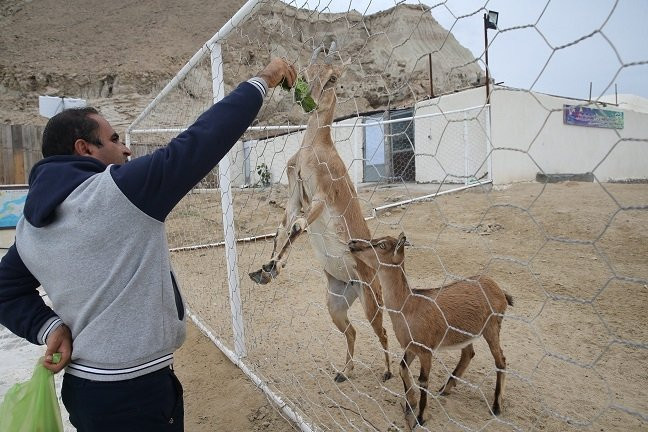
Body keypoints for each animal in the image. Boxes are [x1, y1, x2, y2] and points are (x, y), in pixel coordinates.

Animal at [247, 42, 390, 384]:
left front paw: (274, 267)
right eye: (307, 72)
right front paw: (264, 269)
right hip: (335, 303)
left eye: (333, 78)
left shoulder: (321, 199)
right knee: (352, 332)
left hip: (372, 301)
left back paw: (389, 374)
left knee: (383, 333)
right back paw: (343, 372)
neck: (314, 150)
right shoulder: (296, 196)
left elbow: (298, 227)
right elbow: (281, 227)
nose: (306, 99)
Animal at [346, 235, 512, 430]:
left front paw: (421, 417)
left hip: (492, 327)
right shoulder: (411, 346)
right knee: (468, 353)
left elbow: (423, 380)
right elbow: (402, 368)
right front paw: (410, 404)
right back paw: (445, 389)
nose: (352, 243)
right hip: (467, 333)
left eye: (382, 245)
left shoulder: (426, 350)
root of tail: (500, 291)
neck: (408, 307)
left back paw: (496, 406)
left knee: (500, 359)